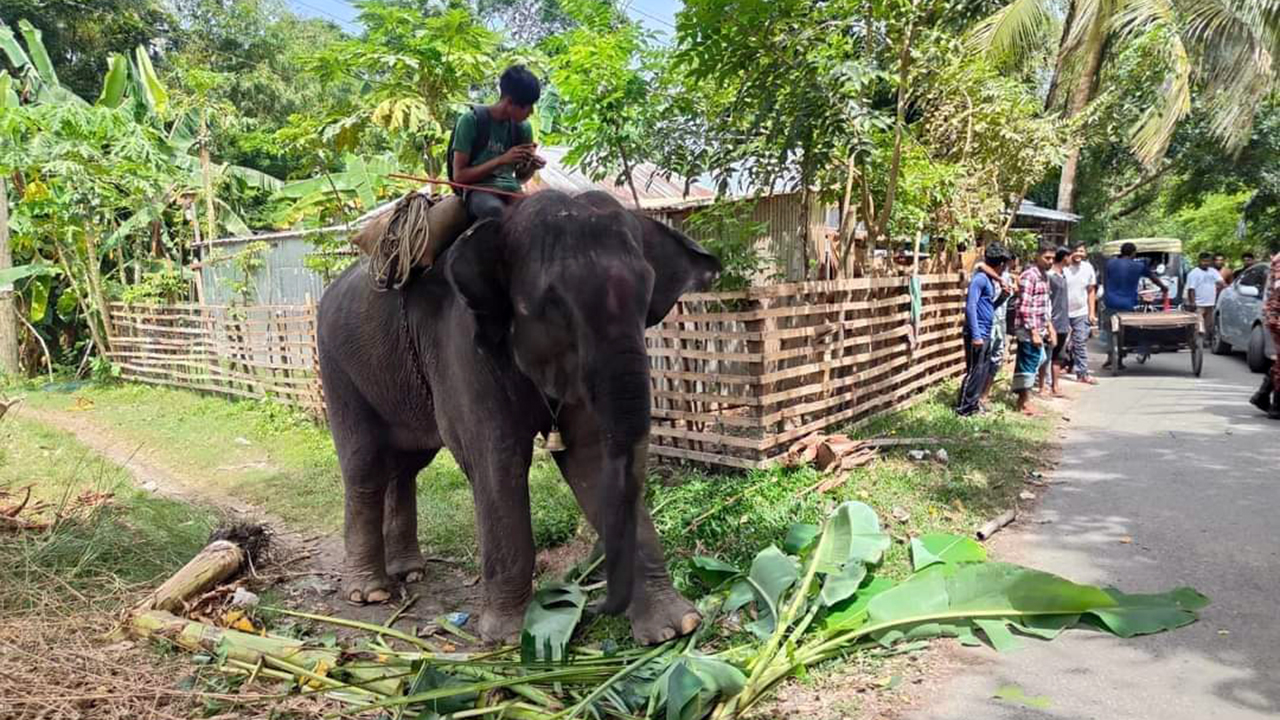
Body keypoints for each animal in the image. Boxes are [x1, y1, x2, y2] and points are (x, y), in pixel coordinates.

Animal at [313, 188, 721, 640]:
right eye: (552, 304)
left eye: (647, 295)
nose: (596, 601)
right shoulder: (462, 346)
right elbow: (497, 458)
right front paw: (510, 636)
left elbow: (591, 457)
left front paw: (677, 628)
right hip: (338, 366)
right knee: (364, 466)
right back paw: (371, 593)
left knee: (406, 466)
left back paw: (410, 572)